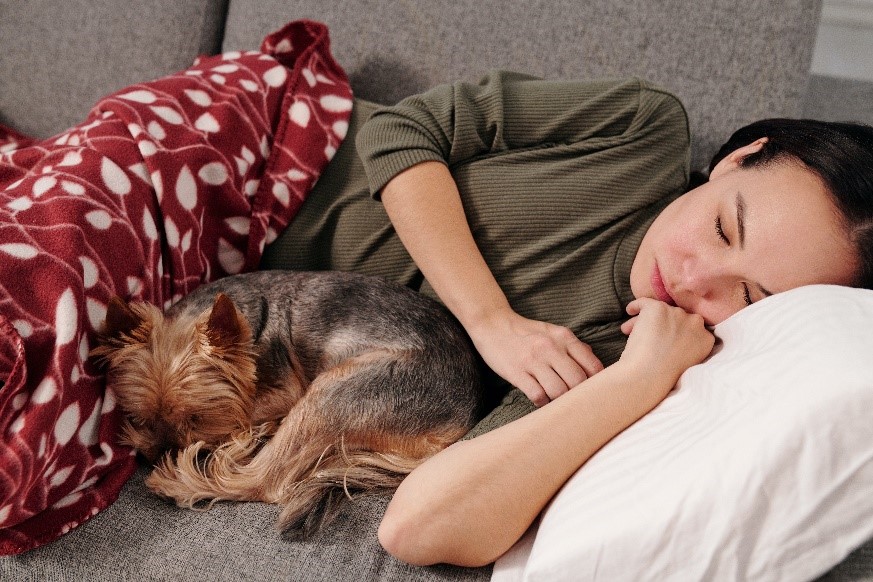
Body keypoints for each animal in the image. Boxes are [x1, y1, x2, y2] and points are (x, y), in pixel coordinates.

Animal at [93, 272, 488, 540]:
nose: (159, 453)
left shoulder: (285, 389)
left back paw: (180, 481)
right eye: (140, 418)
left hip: (336, 391)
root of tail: (462, 416)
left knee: (262, 481)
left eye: (198, 419)